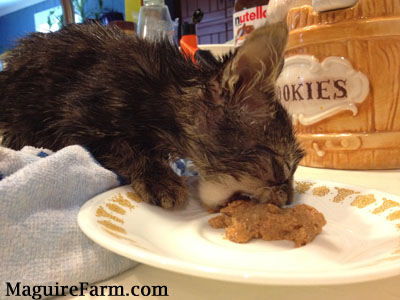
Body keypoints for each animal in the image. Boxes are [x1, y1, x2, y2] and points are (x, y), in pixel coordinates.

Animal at [0, 21, 304, 209]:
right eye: (279, 167)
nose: (289, 199)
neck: (162, 92)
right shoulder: (71, 119)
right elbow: (122, 146)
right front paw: (159, 178)